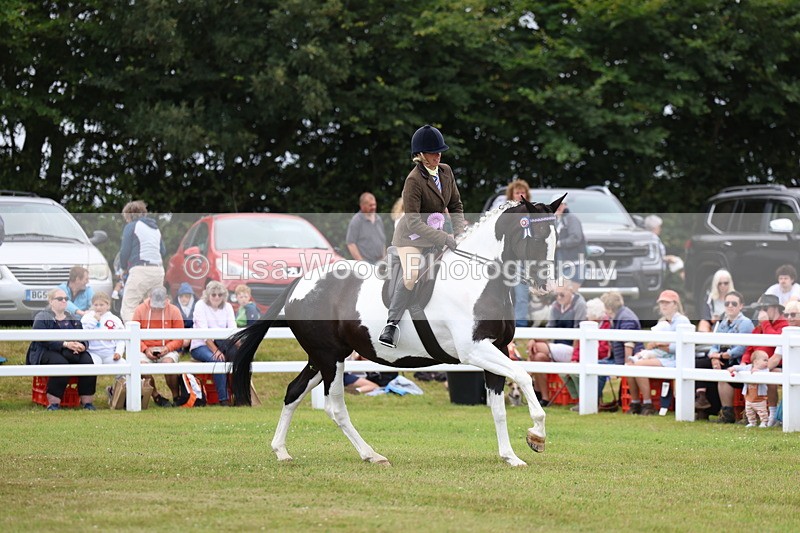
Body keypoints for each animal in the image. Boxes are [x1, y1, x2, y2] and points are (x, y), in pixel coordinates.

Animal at [229, 195, 564, 467]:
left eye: (556, 238)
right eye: (537, 237)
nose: (546, 286)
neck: (479, 278)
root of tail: (300, 283)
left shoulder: (495, 348)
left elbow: (498, 408)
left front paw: (510, 456)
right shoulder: (475, 350)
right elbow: (523, 376)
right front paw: (537, 435)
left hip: (322, 357)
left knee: (293, 392)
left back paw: (281, 451)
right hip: (330, 358)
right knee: (335, 407)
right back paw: (372, 455)